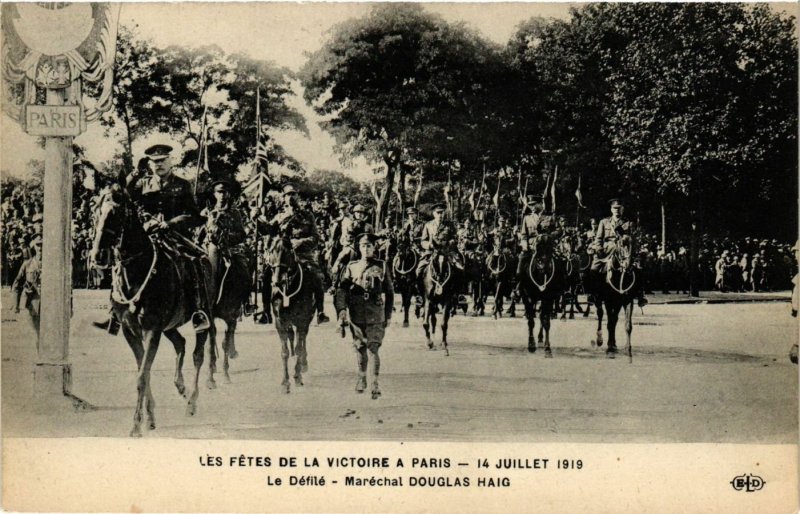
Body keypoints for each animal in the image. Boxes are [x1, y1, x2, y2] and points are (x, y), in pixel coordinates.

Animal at [89, 184, 214, 436]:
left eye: (115, 213)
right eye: (96, 211)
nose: (97, 256)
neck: (136, 273)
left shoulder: (151, 331)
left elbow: (141, 376)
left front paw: (136, 425)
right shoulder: (130, 331)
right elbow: (144, 372)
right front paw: (150, 417)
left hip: (202, 317)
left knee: (198, 355)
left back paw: (192, 401)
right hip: (170, 325)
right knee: (180, 343)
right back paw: (180, 385)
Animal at [268, 232, 314, 392]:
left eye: (288, 252)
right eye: (272, 250)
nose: (277, 280)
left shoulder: (302, 321)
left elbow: (299, 347)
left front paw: (297, 376)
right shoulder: (280, 322)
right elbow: (284, 352)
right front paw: (285, 382)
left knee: (302, 339)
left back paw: (303, 364)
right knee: (292, 337)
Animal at [592, 232, 640, 360]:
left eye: (633, 244)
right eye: (621, 244)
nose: (628, 266)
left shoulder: (628, 301)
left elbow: (627, 325)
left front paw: (628, 349)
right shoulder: (608, 301)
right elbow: (609, 322)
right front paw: (609, 348)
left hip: (617, 303)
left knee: (614, 319)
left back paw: (613, 344)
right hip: (598, 299)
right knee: (600, 314)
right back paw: (600, 339)